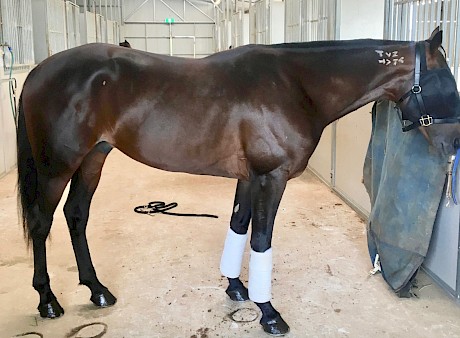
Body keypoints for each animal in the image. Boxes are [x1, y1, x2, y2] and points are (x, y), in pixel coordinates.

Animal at [16, 28, 460, 336]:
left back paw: (97, 290)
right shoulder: (270, 178)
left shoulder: (249, 178)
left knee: (76, 216)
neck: (296, 84)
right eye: (445, 82)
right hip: (57, 166)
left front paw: (235, 287)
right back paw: (48, 300)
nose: (453, 144)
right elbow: (261, 239)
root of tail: (37, 71)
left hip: (93, 158)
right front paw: (269, 313)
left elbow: (238, 225)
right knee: (41, 223)